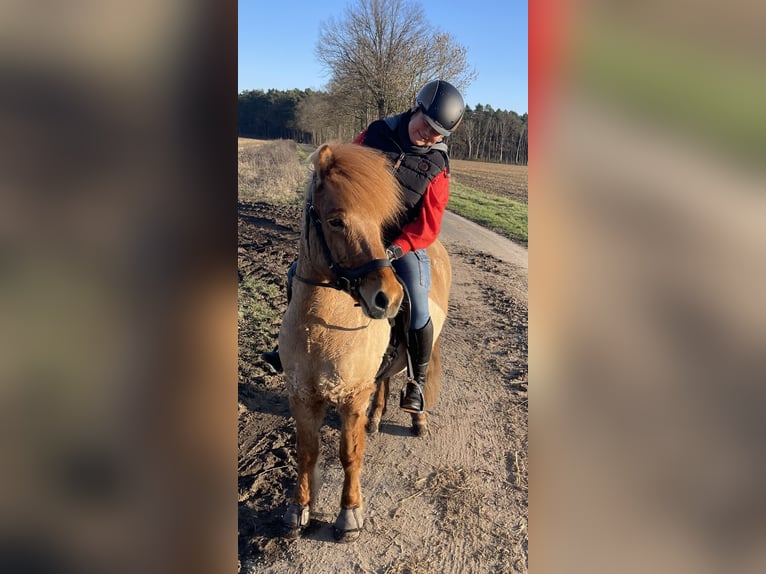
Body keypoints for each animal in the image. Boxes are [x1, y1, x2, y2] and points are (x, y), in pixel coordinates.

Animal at [278, 142, 451, 543]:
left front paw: (349, 516)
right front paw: (299, 511)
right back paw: (376, 419)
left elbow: (350, 454)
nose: (388, 298)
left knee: (417, 374)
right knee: (385, 381)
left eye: (380, 223)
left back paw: (417, 419)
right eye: (335, 221)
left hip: (428, 342)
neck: (322, 324)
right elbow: (306, 452)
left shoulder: (352, 396)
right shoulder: (301, 394)